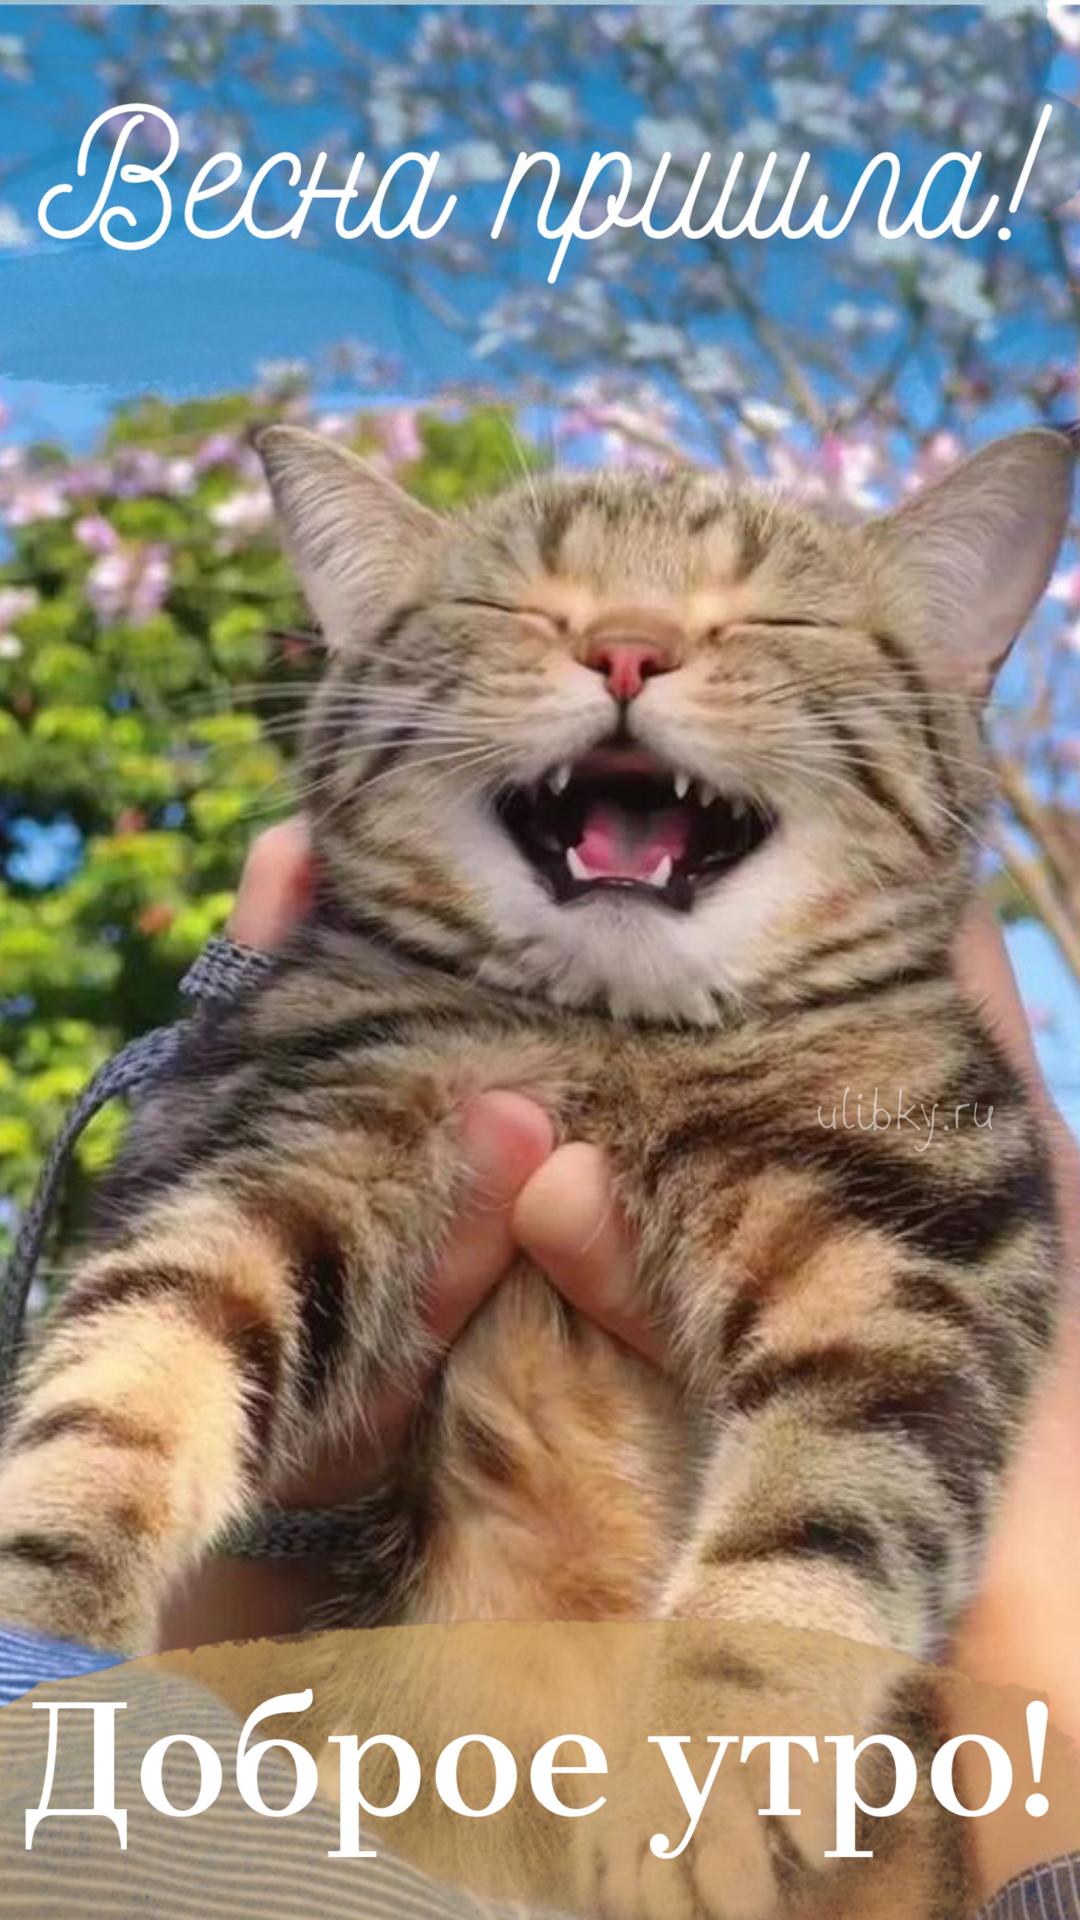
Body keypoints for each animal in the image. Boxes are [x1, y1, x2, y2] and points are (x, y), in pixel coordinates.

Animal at [0, 423, 1069, 1917]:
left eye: (772, 619)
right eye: (515, 601)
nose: (626, 648)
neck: (609, 1039)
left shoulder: (919, 1237)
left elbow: (823, 1519)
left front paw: (709, 1770)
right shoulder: (274, 1136)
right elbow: (123, 1387)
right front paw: (42, 1624)